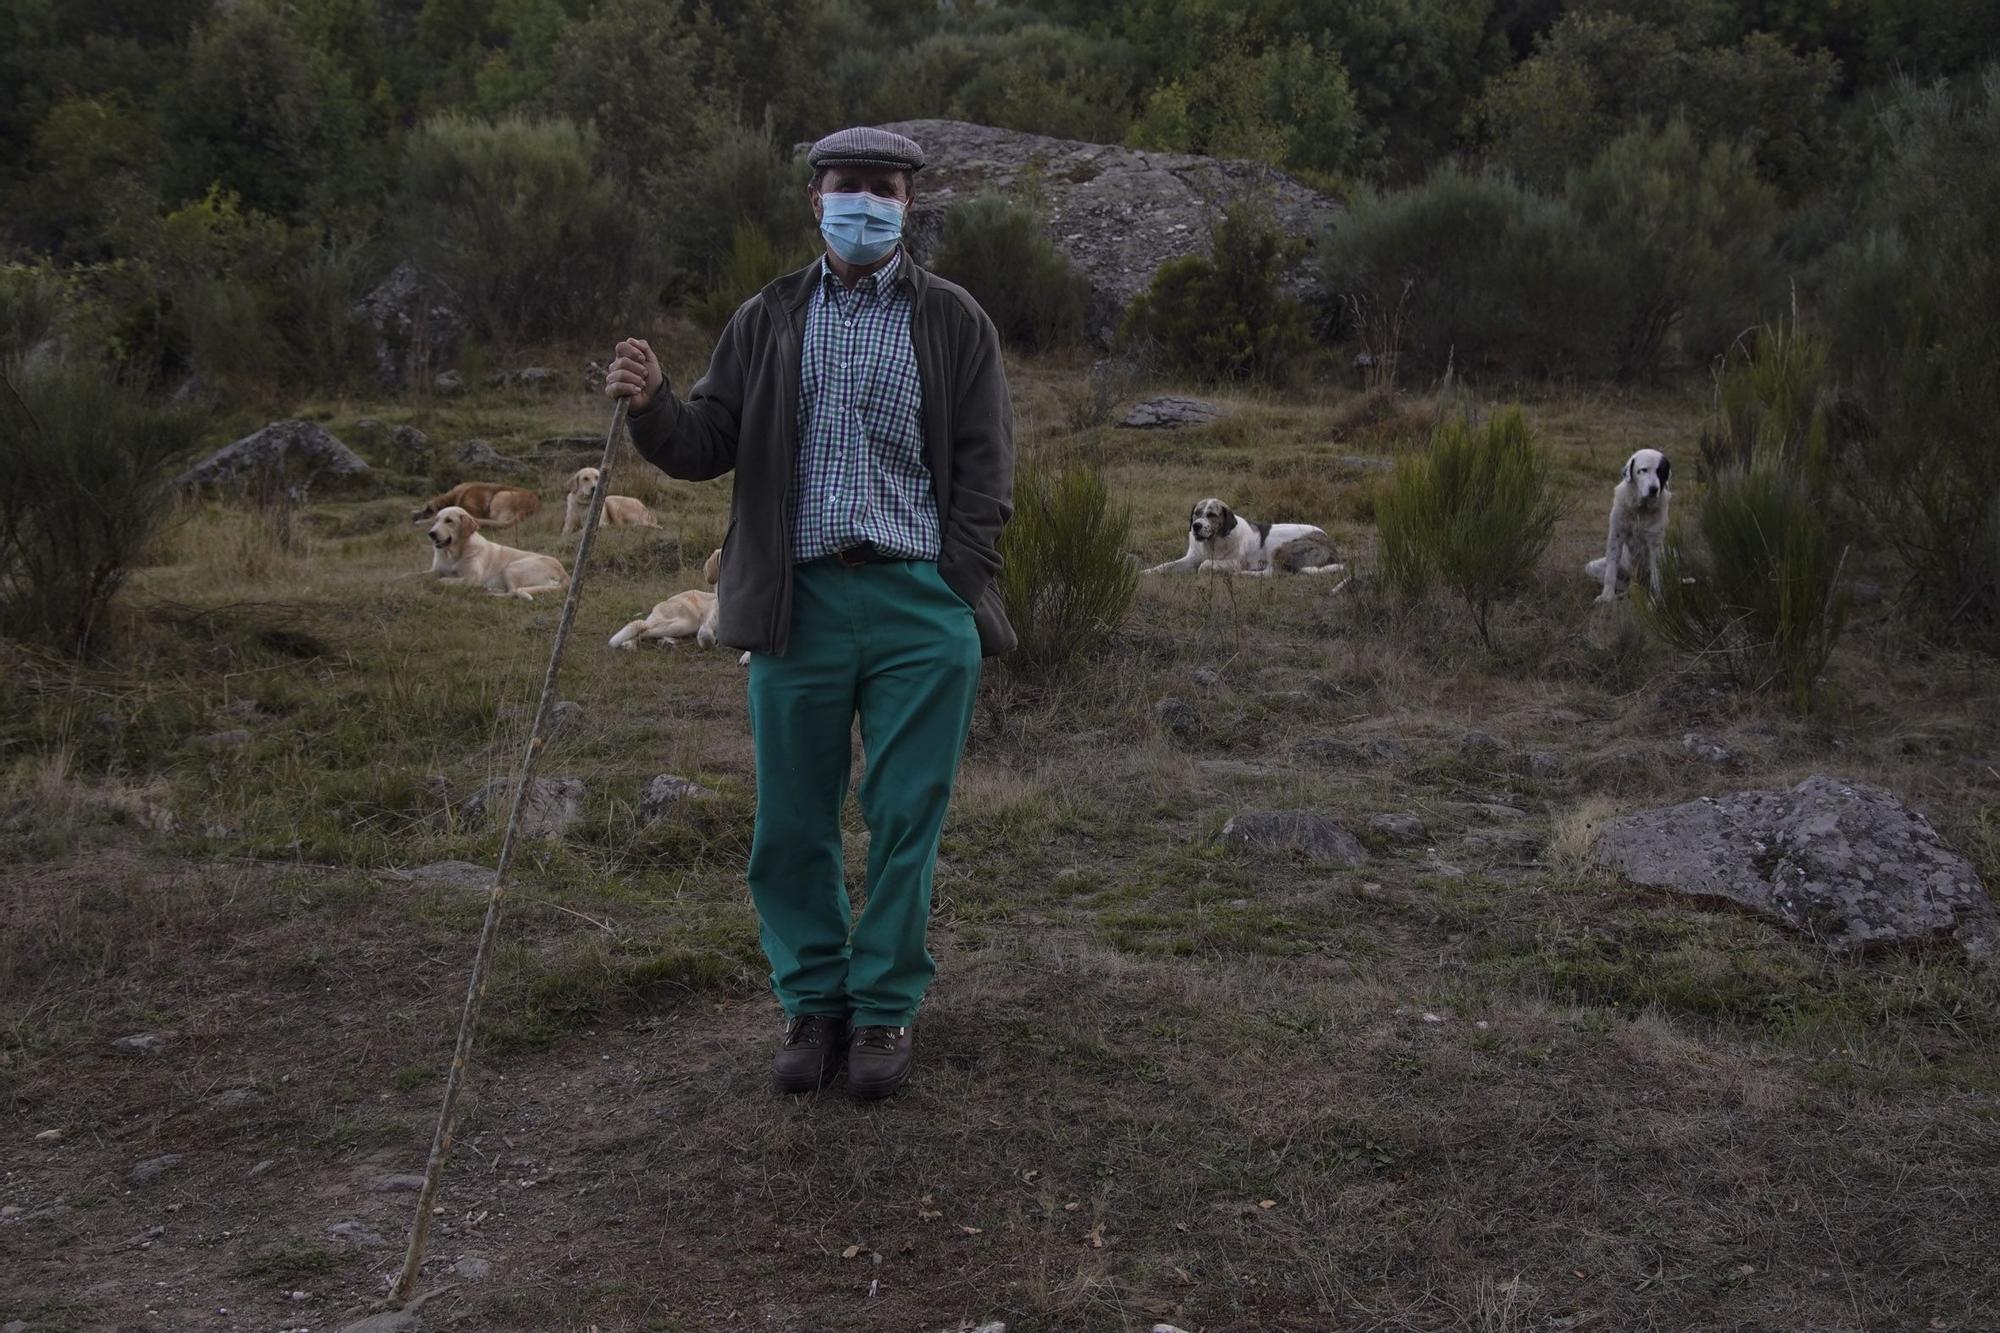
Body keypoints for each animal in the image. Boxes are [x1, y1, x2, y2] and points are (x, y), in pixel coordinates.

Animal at [428, 504, 572, 596]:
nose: (431, 533)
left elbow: (441, 580)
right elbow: (426, 575)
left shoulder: (472, 579)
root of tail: (563, 572)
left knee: (514, 592)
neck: (453, 553)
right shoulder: (434, 570)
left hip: (512, 567)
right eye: (436, 520)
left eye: (449, 520)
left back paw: (491, 592)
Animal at [1144, 496, 1344, 572]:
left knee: (1274, 573)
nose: (1196, 526)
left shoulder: (1235, 562)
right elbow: (1164, 565)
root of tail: (1331, 544)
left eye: (1211, 515)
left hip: (1280, 547)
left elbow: (1204, 565)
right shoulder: (1190, 558)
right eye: (1197, 513)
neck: (1213, 542)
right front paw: (1145, 572)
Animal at [1592, 446, 1672, 600]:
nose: (1654, 489)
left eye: (1661, 471)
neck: (1641, 509)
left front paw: (1656, 598)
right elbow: (1610, 571)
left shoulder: (1655, 544)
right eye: (1643, 470)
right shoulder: (1616, 536)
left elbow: (1657, 575)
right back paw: (1624, 593)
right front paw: (1607, 596)